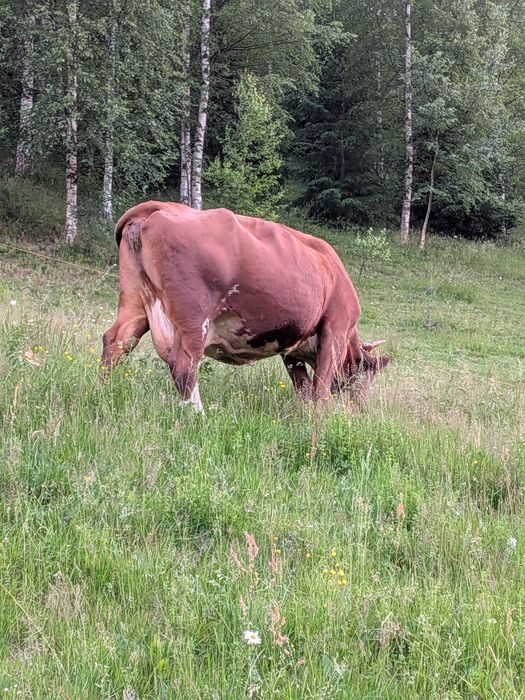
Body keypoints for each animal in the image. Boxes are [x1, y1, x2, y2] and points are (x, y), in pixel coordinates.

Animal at [101, 201, 390, 412]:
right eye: (369, 374)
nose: (362, 406)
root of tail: (155, 206)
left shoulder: (291, 345)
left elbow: (304, 388)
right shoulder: (336, 329)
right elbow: (320, 388)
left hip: (134, 301)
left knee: (116, 342)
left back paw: (105, 393)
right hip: (193, 319)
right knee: (184, 364)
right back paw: (198, 416)